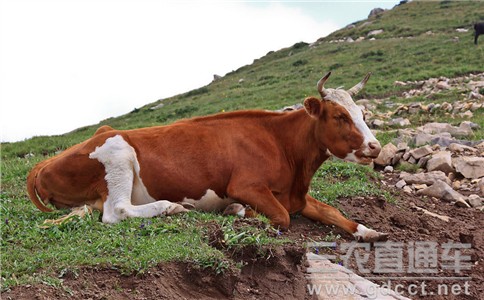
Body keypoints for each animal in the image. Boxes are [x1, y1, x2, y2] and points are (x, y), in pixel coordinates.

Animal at [28, 72, 388, 241]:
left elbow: (332, 211)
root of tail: (42, 164)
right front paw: (237, 211)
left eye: (362, 113)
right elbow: (280, 216)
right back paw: (171, 207)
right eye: (339, 116)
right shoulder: (246, 185)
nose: (375, 147)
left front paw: (368, 230)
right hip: (117, 154)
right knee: (116, 211)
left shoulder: (296, 195)